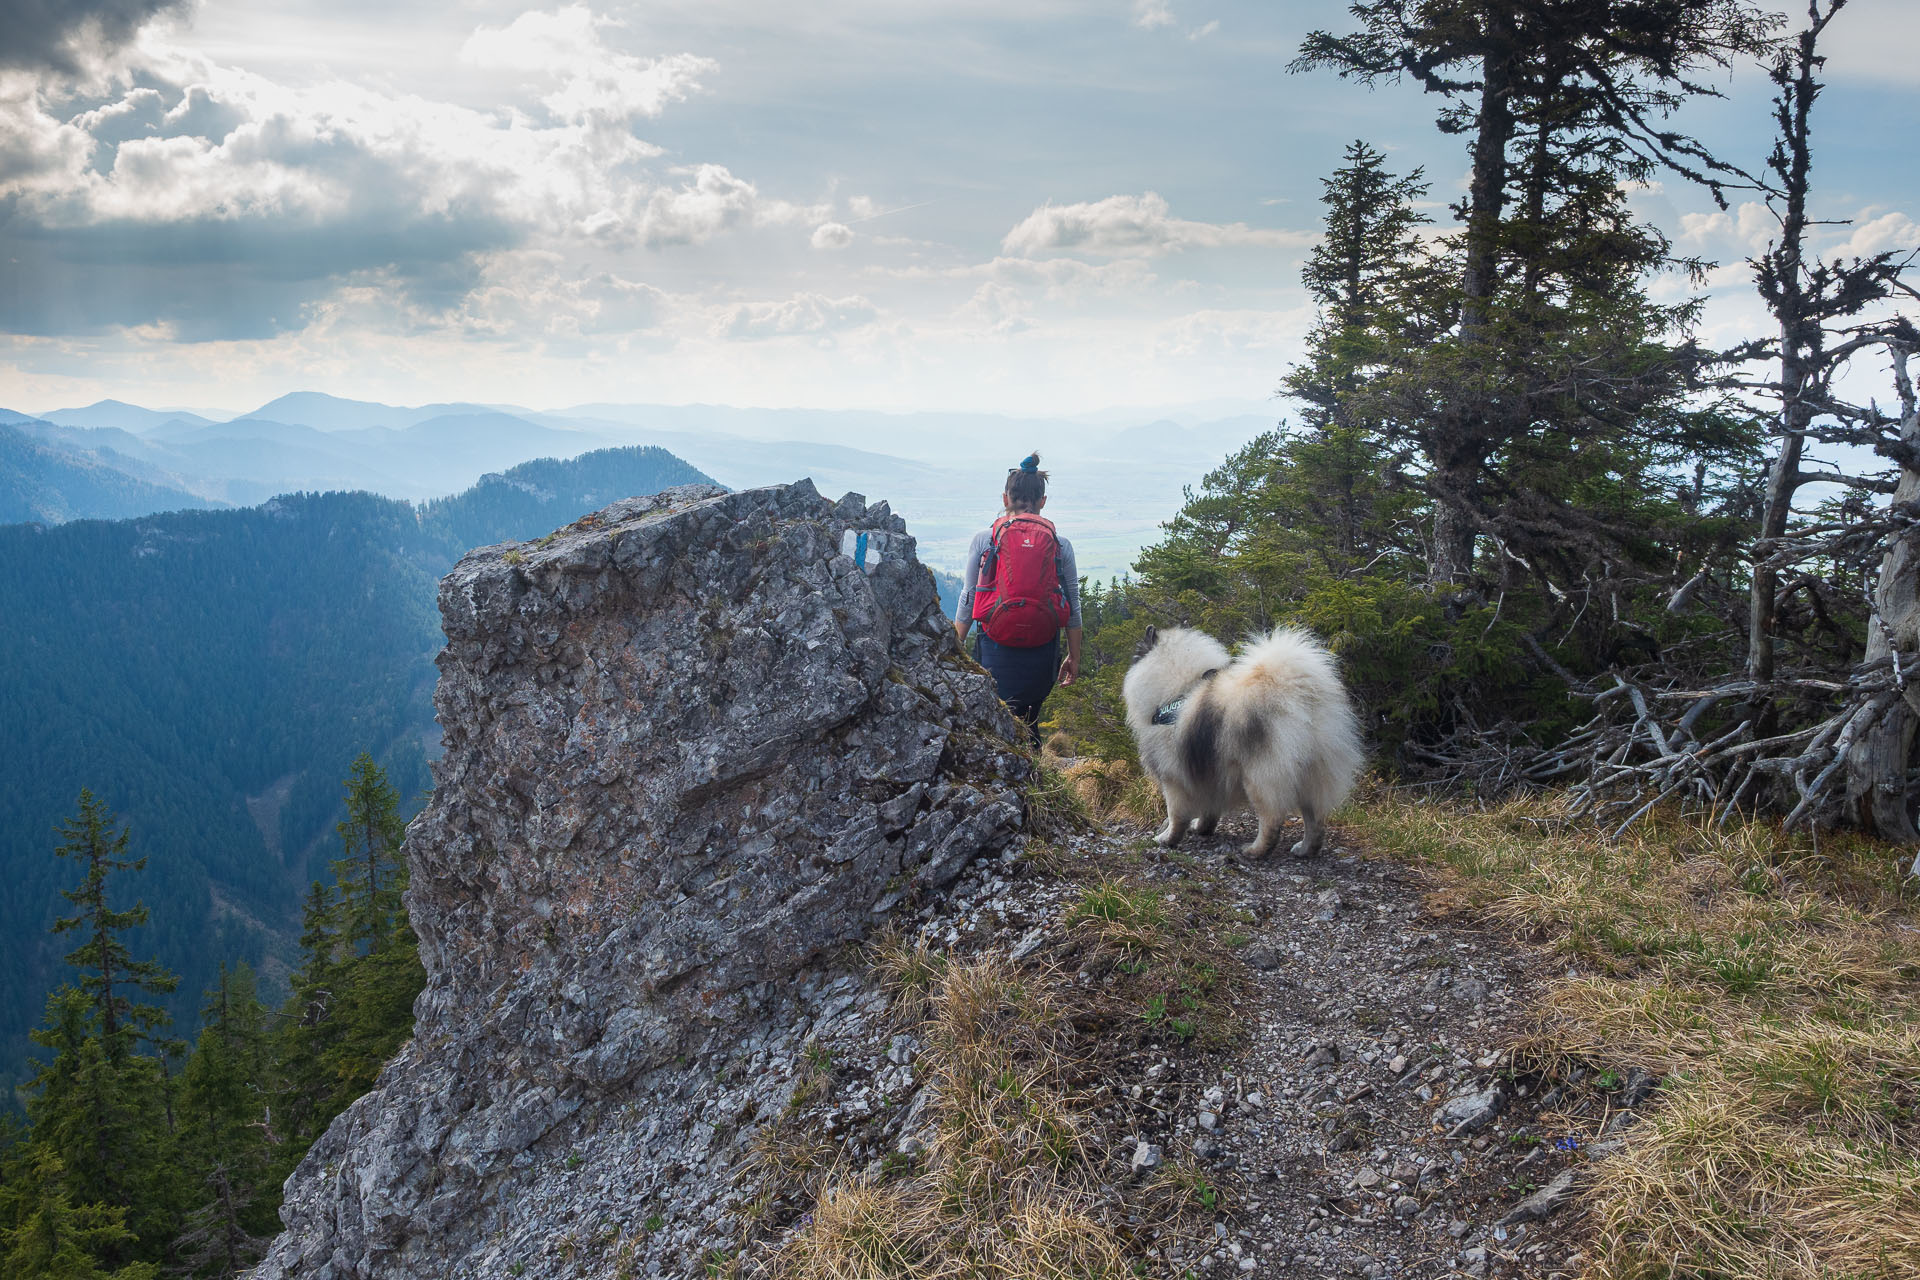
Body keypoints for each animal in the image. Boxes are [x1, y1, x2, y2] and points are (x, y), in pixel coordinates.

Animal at [1121, 621, 1367, 855]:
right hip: (1312, 772)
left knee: (1271, 819)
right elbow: (1209, 809)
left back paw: (1255, 850)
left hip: (1260, 777)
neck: (1179, 689)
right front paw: (1201, 827)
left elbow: (1175, 815)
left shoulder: (1173, 778)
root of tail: (1296, 695)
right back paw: (1306, 849)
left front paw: (1166, 839)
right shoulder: (1209, 772)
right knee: (1315, 818)